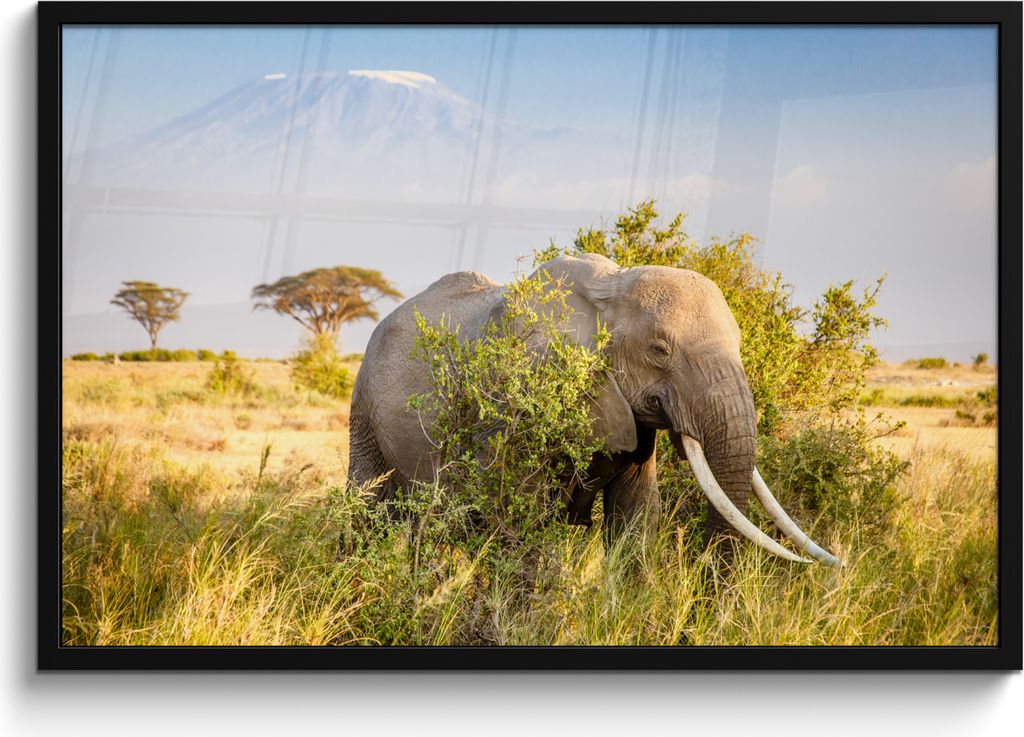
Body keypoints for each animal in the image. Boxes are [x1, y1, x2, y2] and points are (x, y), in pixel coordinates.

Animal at [348, 252, 841, 566]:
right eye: (660, 350)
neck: (610, 290)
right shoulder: (518, 399)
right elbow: (522, 520)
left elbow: (636, 519)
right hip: (364, 409)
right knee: (366, 508)